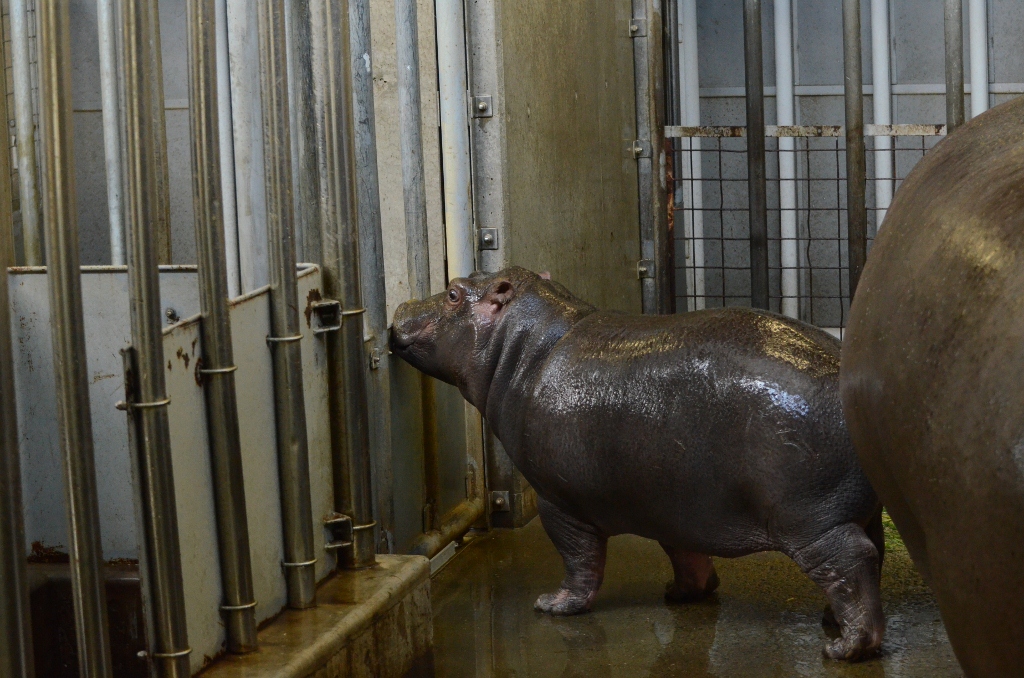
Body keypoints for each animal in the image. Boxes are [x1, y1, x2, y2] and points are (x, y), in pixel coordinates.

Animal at [387, 268, 884, 659]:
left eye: (453, 292)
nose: (401, 304)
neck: (525, 348)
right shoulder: (673, 503)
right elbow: (684, 552)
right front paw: (681, 594)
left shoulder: (558, 500)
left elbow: (579, 558)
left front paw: (554, 604)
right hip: (855, 509)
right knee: (870, 555)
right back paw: (832, 622)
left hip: (810, 520)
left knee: (849, 561)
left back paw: (845, 648)